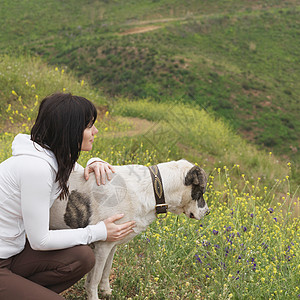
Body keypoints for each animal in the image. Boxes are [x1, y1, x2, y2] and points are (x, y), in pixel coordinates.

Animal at [49, 159, 209, 300]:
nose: (207, 212)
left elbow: (106, 270)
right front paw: (94, 296)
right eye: (201, 191)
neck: (152, 189)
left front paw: (106, 291)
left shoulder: (112, 243)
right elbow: (94, 279)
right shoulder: (102, 246)